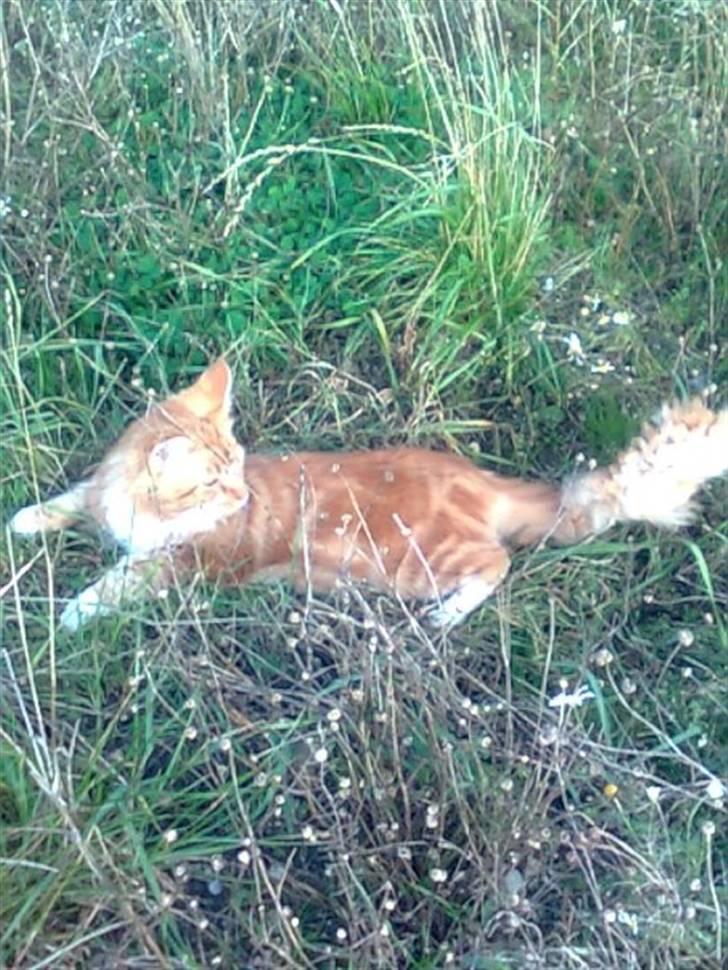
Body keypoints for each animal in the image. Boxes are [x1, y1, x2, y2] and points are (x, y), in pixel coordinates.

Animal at [7, 360, 728, 632]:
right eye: (216, 476)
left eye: (237, 468)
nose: (237, 493)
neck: (142, 510)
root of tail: (479, 476)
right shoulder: (100, 495)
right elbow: (73, 498)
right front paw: (24, 519)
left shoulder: (187, 563)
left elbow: (119, 580)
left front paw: (72, 614)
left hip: (419, 561)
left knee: (496, 564)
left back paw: (447, 616)